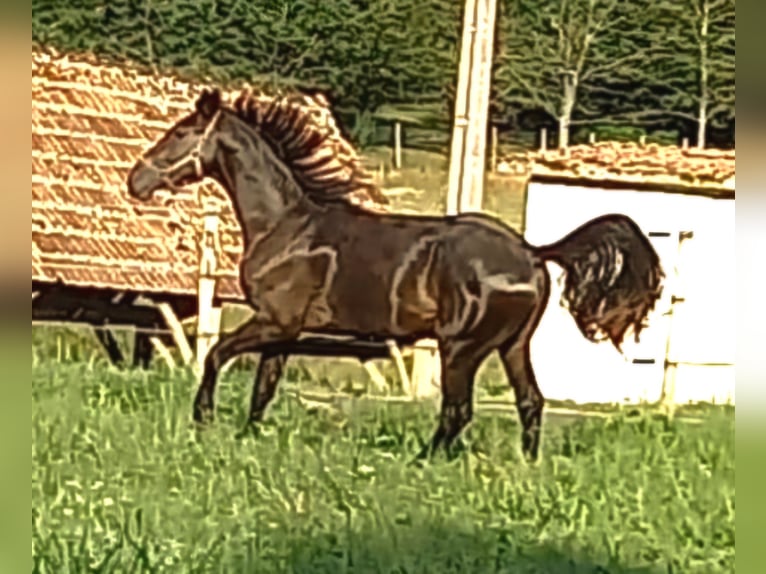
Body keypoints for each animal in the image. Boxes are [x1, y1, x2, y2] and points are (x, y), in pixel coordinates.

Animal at [126, 87, 664, 462]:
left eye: (179, 133)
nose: (136, 180)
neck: (285, 225)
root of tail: (532, 253)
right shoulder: (286, 330)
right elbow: (264, 387)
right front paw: (246, 434)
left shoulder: (273, 321)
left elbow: (215, 354)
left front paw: (203, 419)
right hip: (511, 345)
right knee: (530, 402)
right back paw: (525, 467)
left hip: (461, 347)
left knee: (458, 410)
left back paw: (424, 459)